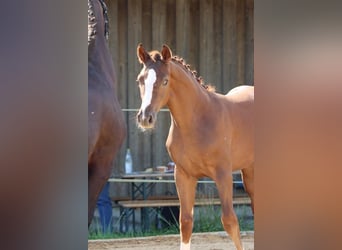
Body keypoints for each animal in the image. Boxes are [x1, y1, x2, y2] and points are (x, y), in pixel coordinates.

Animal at [136, 44, 254, 249]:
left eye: (165, 81)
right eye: (140, 80)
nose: (145, 118)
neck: (198, 120)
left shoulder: (223, 174)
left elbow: (230, 221)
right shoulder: (183, 175)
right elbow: (185, 221)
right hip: (249, 170)